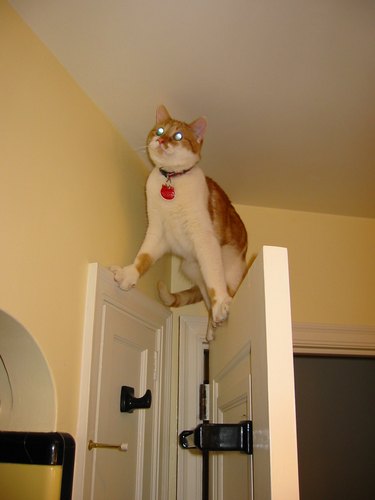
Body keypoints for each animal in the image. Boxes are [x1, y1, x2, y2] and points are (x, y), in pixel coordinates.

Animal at [111, 105, 250, 340]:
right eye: (159, 130)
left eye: (177, 136)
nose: (161, 140)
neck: (172, 179)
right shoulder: (157, 231)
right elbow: (144, 255)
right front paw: (130, 274)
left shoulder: (204, 237)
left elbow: (215, 281)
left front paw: (221, 302)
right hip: (196, 274)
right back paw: (211, 326)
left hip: (229, 271)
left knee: (221, 285)